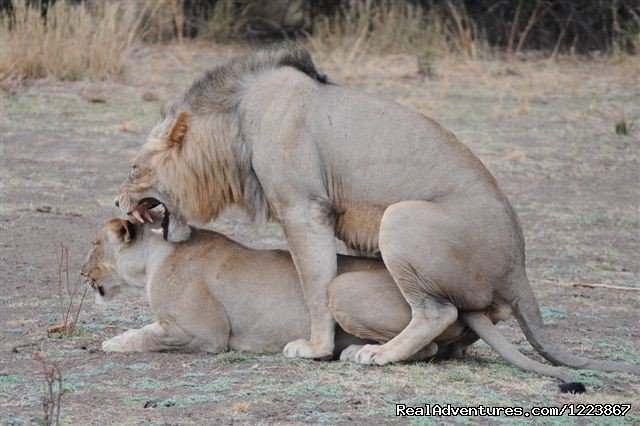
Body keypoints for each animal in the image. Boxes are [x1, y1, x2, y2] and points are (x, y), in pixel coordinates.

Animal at [84, 216, 592, 390]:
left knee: (429, 338)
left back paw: (367, 353)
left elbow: (145, 334)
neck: (154, 258)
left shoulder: (204, 332)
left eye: (93, 244)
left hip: (341, 289)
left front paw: (112, 342)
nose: (84, 274)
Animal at [117, 43, 636, 374]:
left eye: (134, 166)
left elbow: (316, 284)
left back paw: (376, 355)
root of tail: (519, 270)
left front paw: (315, 348)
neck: (233, 124)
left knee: (436, 312)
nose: (116, 201)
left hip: (401, 218)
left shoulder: (303, 207)